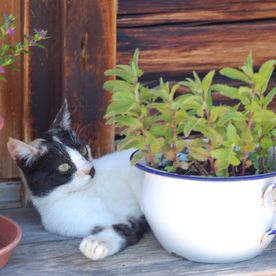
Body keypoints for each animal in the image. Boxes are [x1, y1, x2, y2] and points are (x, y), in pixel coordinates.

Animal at [7, 100, 149, 260]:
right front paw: (98, 244)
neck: (85, 193)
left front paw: (97, 243)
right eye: (64, 166)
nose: (90, 170)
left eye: (83, 151)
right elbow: (126, 227)